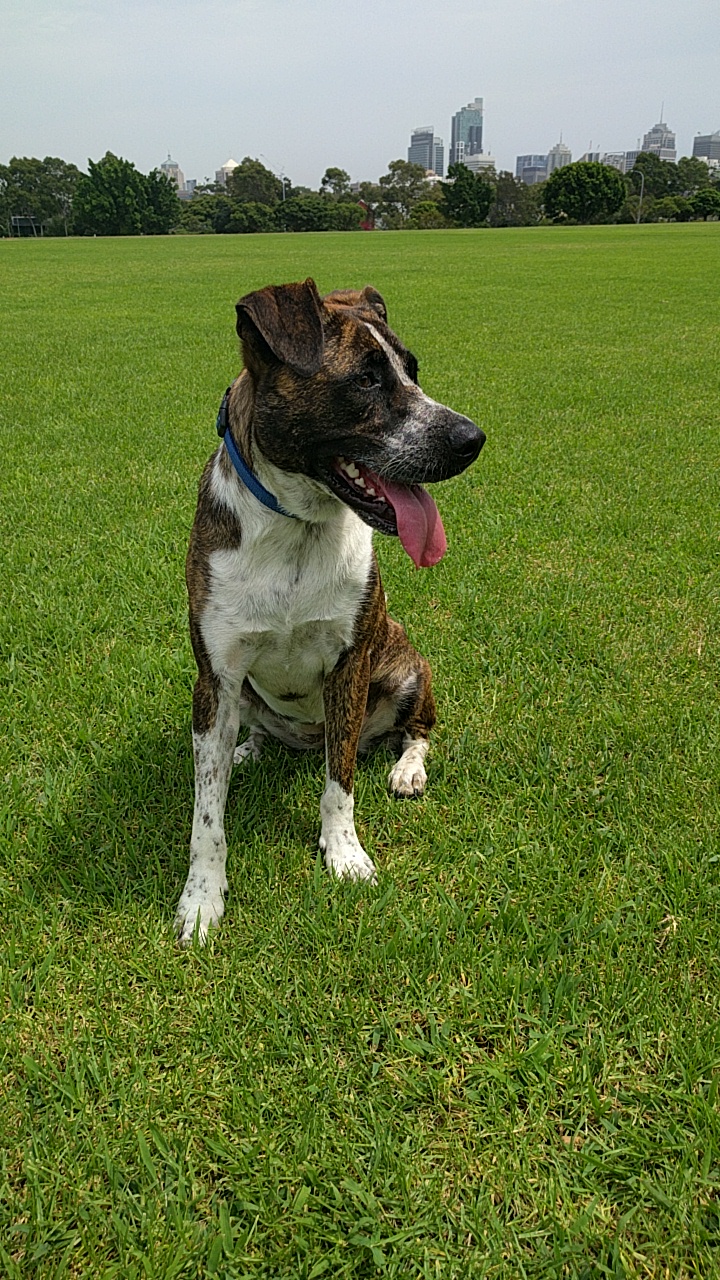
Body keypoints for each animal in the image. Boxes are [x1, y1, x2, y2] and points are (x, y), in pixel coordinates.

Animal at [175, 278, 484, 944]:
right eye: (366, 380)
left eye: (411, 369)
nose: (471, 439)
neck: (297, 527)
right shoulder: (215, 677)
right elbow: (207, 811)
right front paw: (201, 897)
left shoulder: (350, 663)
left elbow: (338, 784)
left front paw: (344, 854)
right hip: (244, 695)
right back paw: (249, 748)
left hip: (406, 665)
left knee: (413, 731)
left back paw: (406, 769)